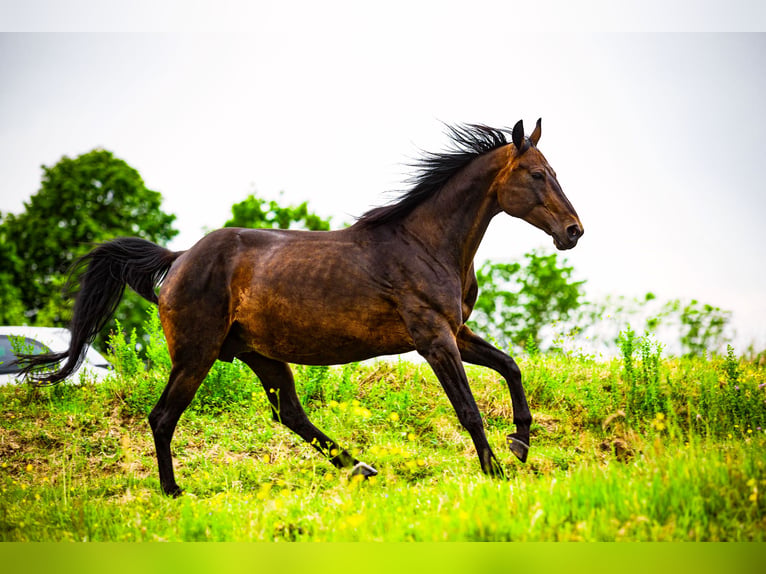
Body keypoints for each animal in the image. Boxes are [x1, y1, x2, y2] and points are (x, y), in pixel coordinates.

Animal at [20, 119, 583, 496]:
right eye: (536, 174)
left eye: (553, 171)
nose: (574, 231)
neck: (424, 243)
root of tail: (179, 260)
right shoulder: (433, 338)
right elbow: (467, 408)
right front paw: (496, 470)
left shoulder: (456, 333)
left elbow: (510, 367)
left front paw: (520, 444)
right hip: (198, 354)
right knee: (162, 416)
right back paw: (174, 491)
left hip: (260, 355)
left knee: (288, 412)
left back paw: (361, 468)